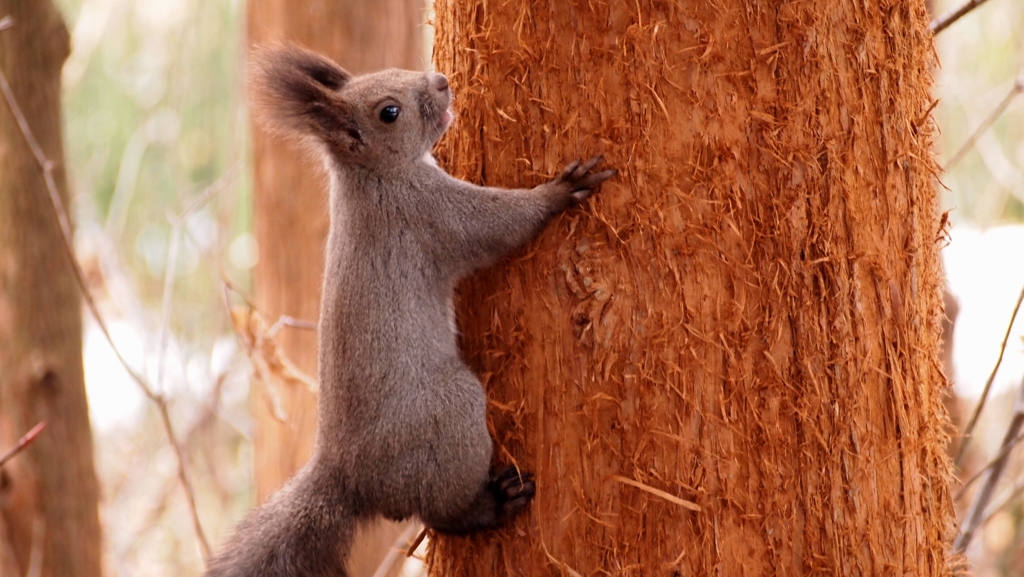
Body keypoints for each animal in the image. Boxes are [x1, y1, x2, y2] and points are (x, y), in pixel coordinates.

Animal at [203, 46, 610, 577]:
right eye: (389, 112)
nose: (441, 82)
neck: (375, 177)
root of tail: (350, 479)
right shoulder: (432, 213)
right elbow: (501, 225)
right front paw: (559, 191)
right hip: (450, 418)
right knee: (442, 512)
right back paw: (492, 504)